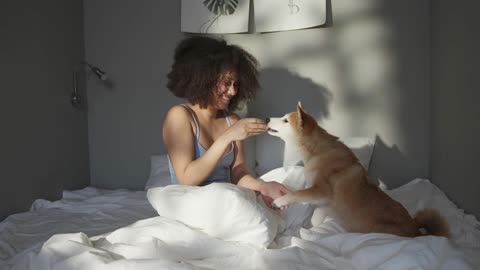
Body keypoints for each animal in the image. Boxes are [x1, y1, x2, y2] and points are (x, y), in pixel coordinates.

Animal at [266, 102, 450, 237]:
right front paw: (308, 231)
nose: (267, 117)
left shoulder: (322, 190)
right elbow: (314, 219)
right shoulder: (324, 203)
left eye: (285, 120)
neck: (318, 151)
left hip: (378, 231)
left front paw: (280, 201)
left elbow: (297, 194)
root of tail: (415, 229)